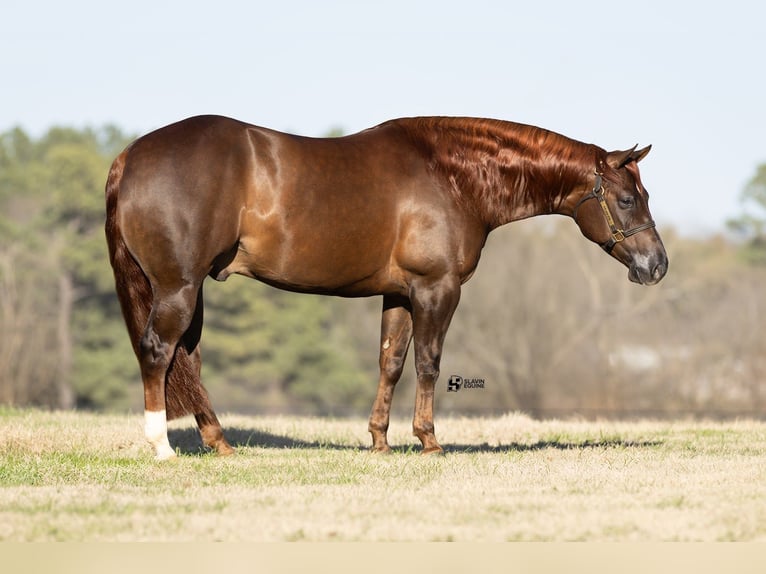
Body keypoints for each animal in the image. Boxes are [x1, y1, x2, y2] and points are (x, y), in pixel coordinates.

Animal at [105, 115, 667, 460]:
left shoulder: (399, 293)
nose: (657, 265)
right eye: (626, 199)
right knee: (158, 350)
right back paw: (161, 446)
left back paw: (219, 443)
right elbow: (428, 363)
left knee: (187, 359)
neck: (451, 176)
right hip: (178, 287)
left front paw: (379, 441)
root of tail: (129, 156)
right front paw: (429, 440)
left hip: (190, 290)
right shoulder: (437, 289)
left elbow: (390, 362)